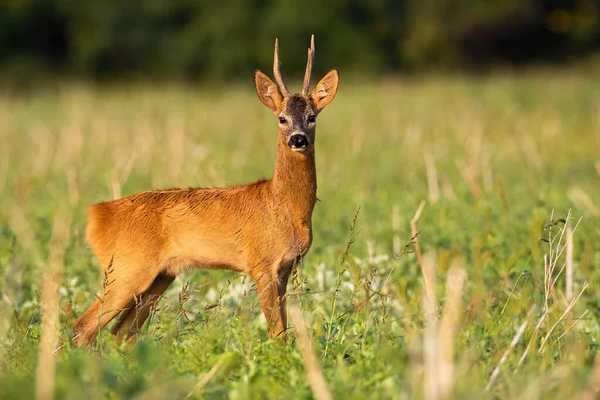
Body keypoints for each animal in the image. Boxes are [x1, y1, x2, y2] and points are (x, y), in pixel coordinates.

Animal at [71, 36, 338, 346]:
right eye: (282, 118)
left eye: (312, 117)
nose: (298, 139)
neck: (285, 206)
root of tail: (96, 214)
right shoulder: (261, 263)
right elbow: (277, 332)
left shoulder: (284, 267)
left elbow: (282, 328)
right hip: (126, 267)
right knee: (85, 325)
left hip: (158, 276)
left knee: (122, 332)